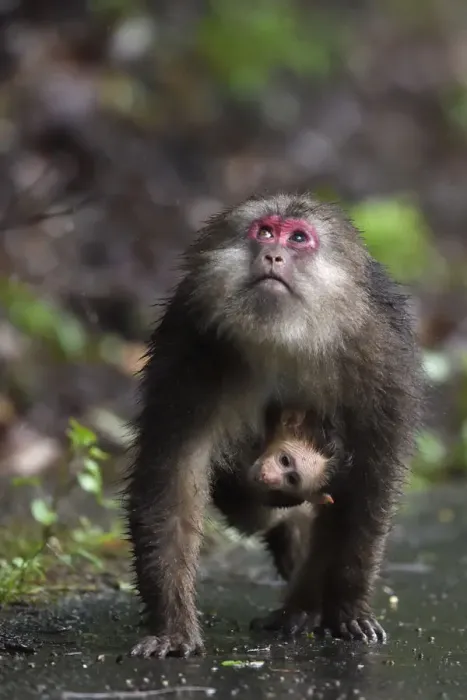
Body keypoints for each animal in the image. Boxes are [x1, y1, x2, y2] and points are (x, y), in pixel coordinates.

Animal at [125, 192, 422, 658]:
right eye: (264, 232)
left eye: (298, 238)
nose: (273, 255)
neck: (288, 334)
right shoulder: (191, 343)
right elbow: (173, 473)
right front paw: (171, 626)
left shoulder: (381, 354)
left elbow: (371, 482)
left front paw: (348, 608)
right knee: (250, 504)